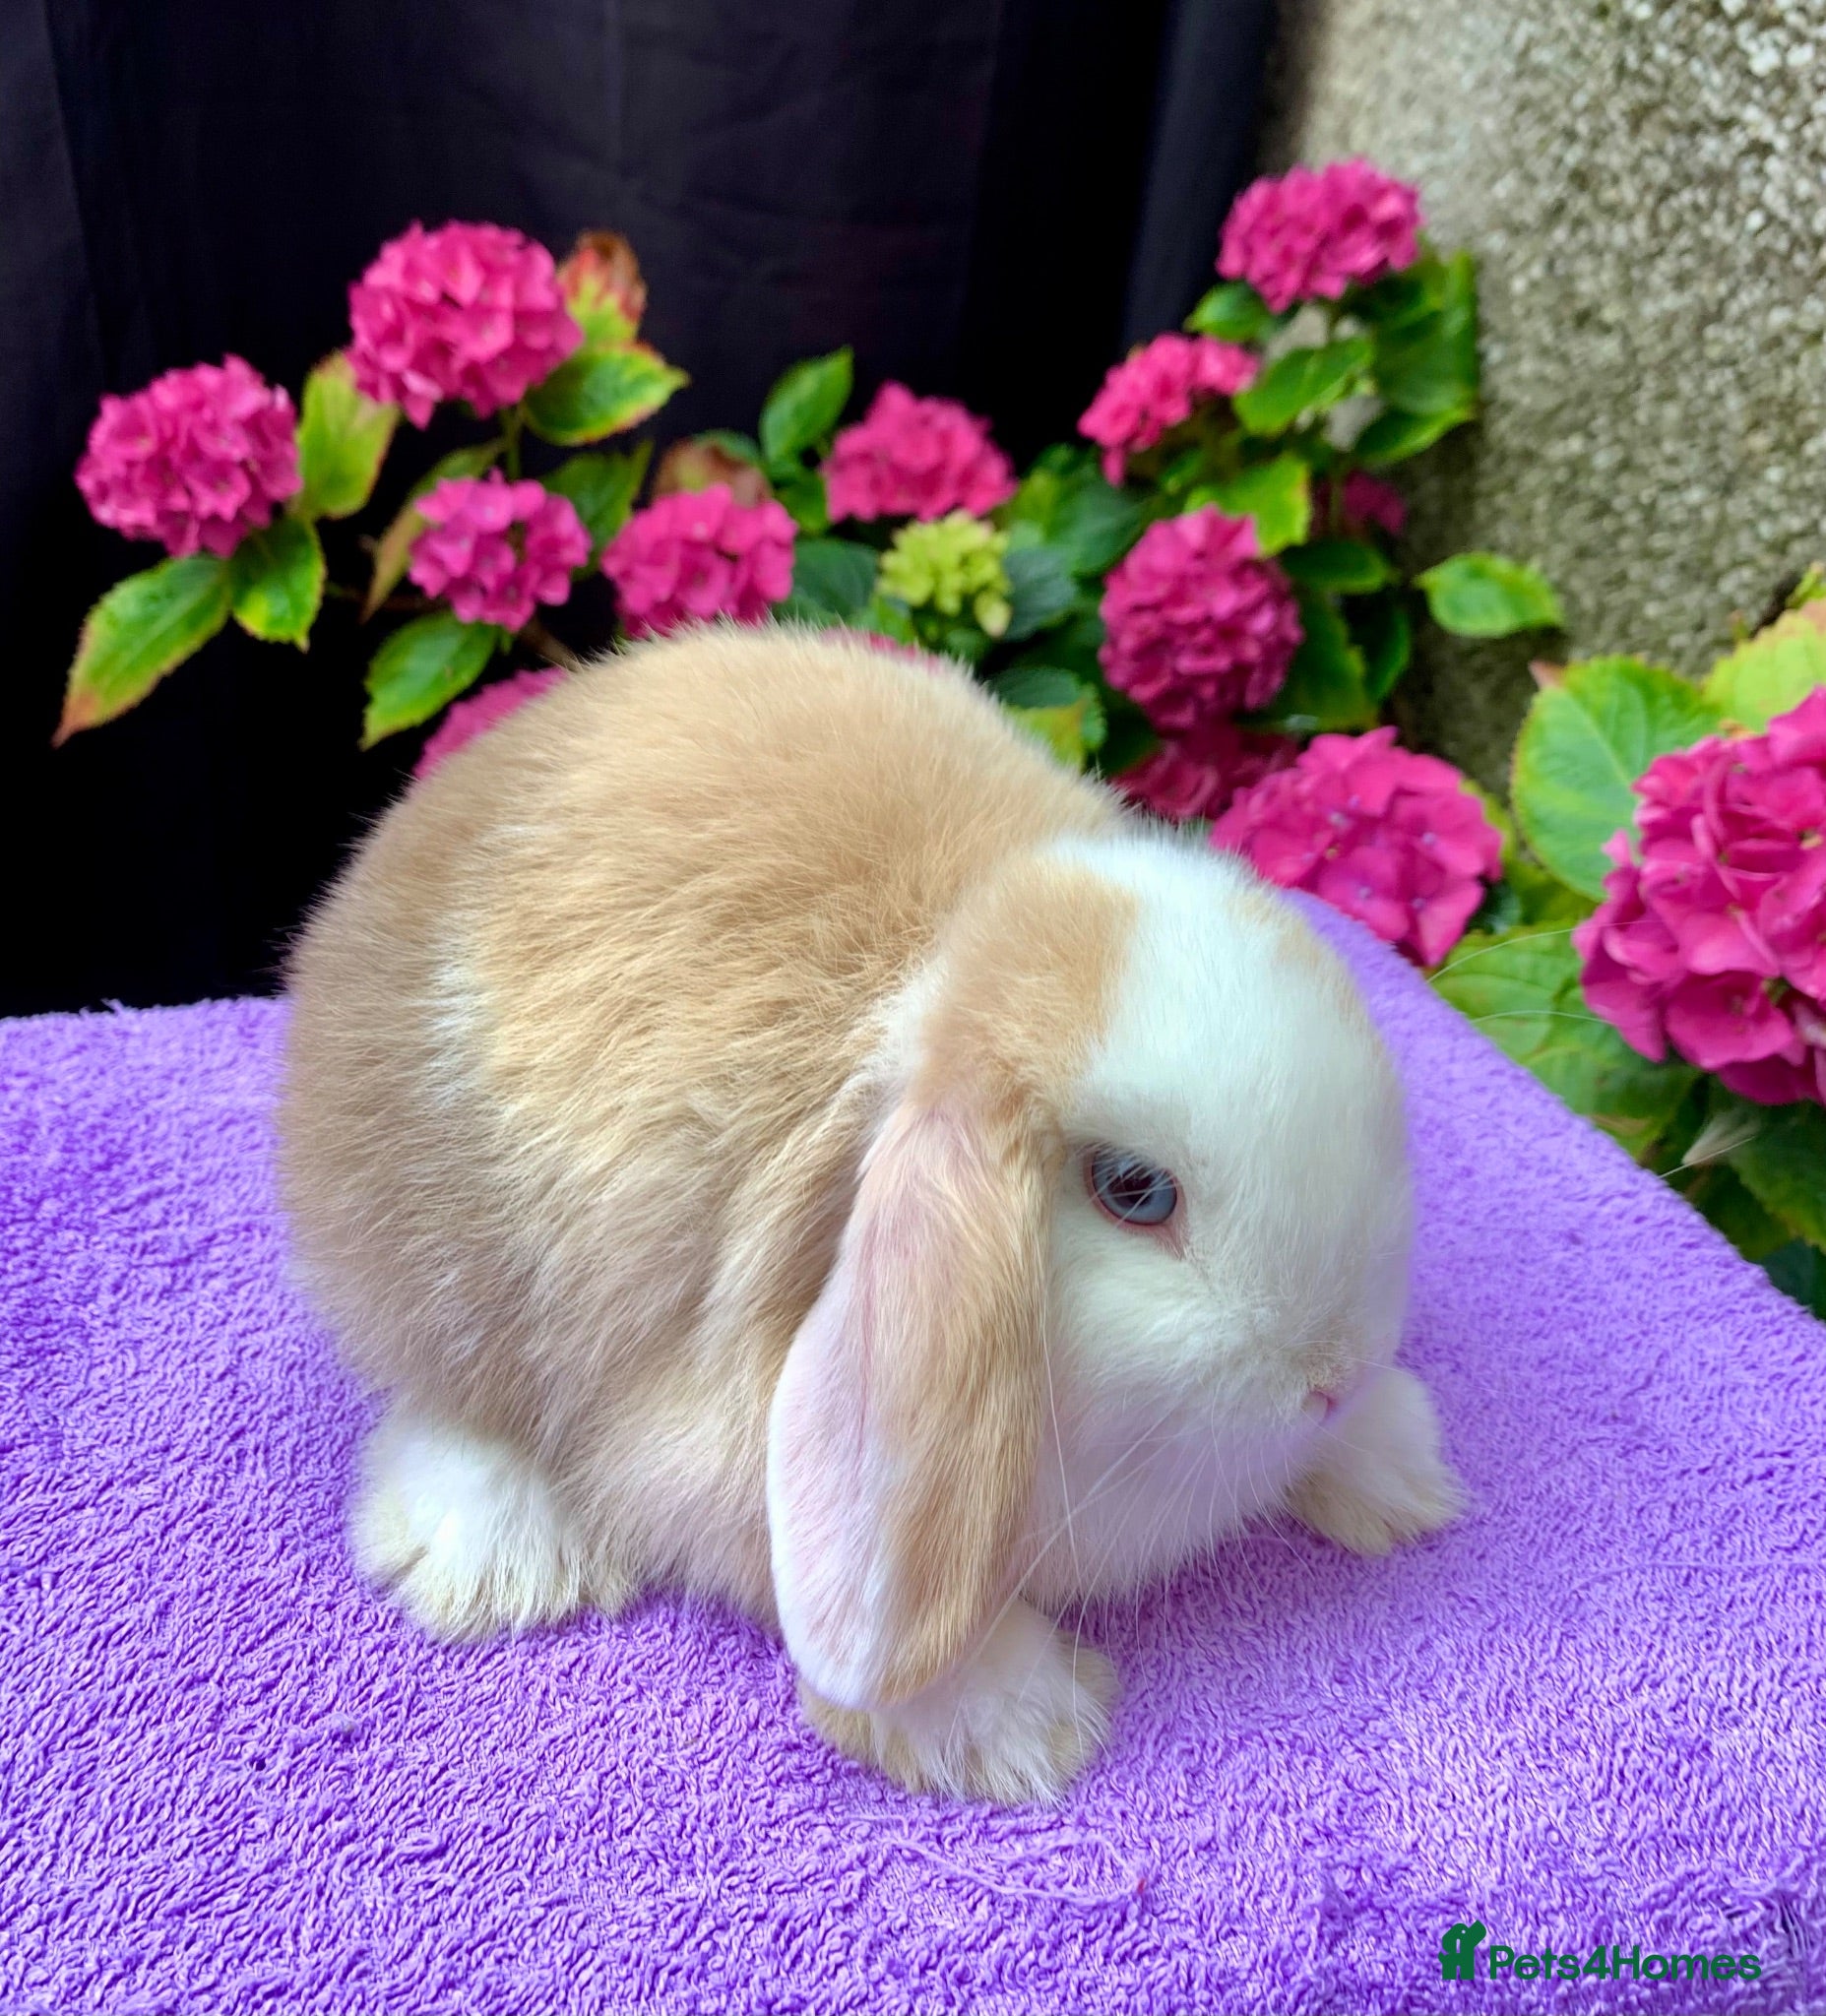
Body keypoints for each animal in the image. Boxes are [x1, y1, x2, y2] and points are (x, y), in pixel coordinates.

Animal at [278, 623, 1463, 1805]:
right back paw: (496, 1565)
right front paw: (1017, 1725)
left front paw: (1396, 1466)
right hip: (432, 1278)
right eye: (1133, 1189)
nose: (1332, 1375)